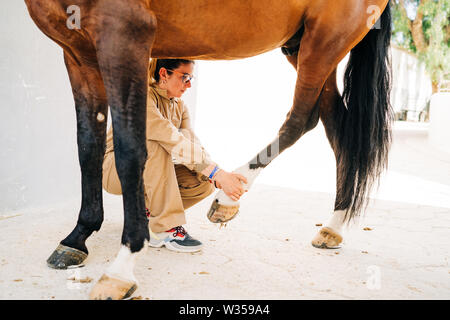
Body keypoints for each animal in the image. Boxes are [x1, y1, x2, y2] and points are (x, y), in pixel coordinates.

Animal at [24, 0, 392, 300]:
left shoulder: (124, 37)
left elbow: (131, 152)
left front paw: (122, 267)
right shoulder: (79, 55)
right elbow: (88, 145)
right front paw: (77, 238)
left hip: (324, 44)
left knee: (304, 118)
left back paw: (229, 195)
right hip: (304, 47)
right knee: (338, 128)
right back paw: (333, 226)